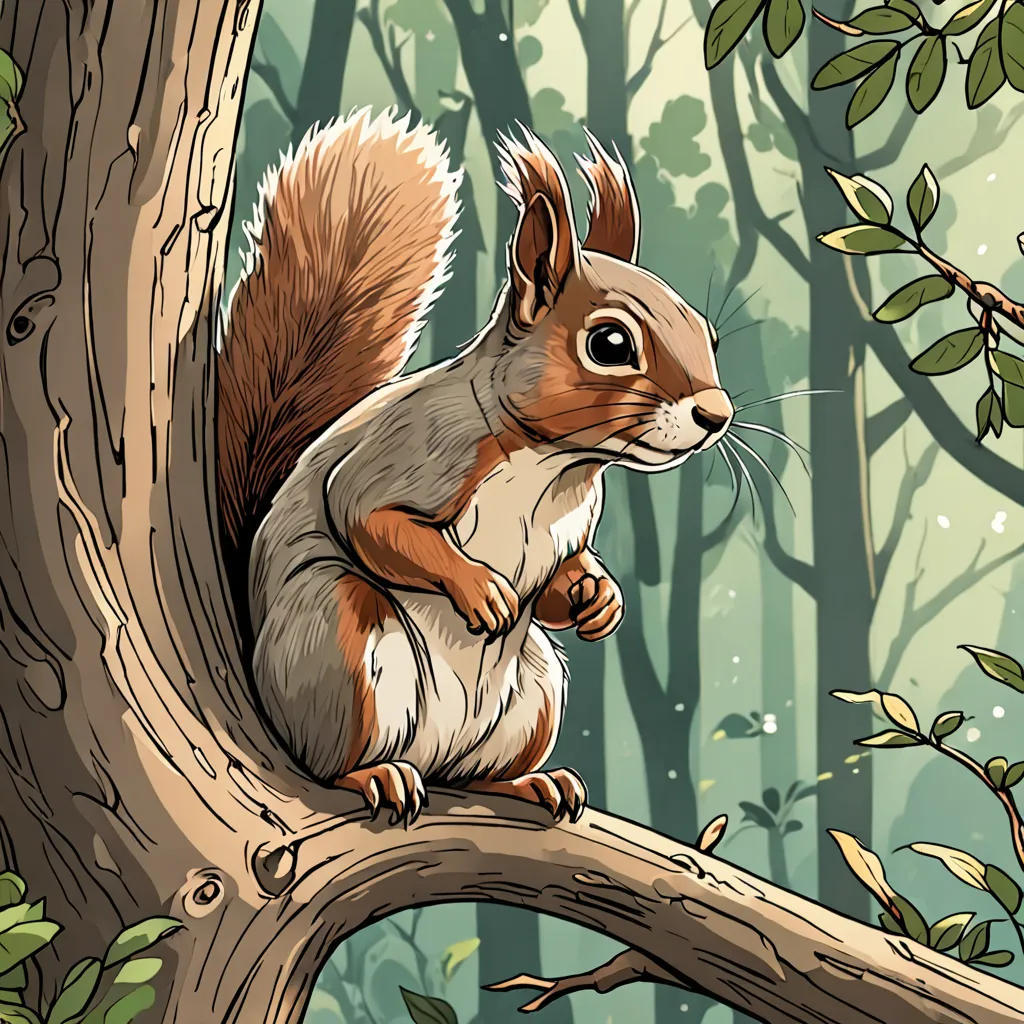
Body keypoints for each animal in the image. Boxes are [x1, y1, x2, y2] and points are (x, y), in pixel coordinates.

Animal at [217, 108, 733, 826]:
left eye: (707, 334)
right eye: (610, 343)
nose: (717, 413)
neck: (554, 466)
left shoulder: (566, 530)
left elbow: (560, 582)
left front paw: (598, 597)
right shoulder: (416, 452)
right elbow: (371, 519)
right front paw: (480, 588)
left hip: (535, 697)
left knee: (476, 771)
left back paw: (531, 784)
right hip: (335, 645)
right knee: (326, 759)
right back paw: (374, 775)